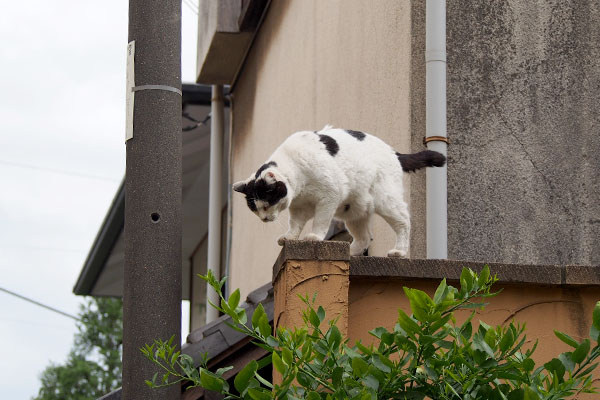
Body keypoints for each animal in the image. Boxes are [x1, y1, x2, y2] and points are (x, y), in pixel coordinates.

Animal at [233, 125, 446, 256]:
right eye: (255, 209)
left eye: (267, 205)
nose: (264, 219)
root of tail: (394, 152)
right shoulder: (299, 208)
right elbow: (295, 224)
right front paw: (290, 237)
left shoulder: (330, 196)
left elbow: (320, 221)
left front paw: (314, 237)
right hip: (355, 212)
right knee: (364, 238)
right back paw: (350, 252)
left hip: (386, 201)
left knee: (404, 221)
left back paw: (399, 251)